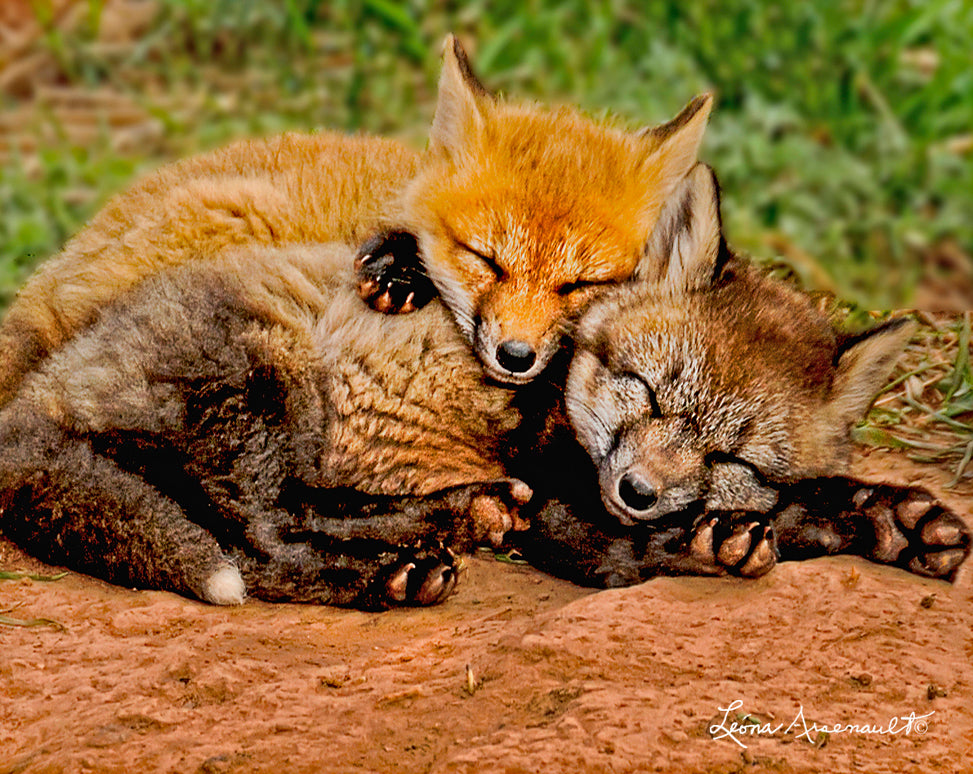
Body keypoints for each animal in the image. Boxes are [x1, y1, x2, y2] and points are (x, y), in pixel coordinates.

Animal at [0, 164, 966, 608]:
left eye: (732, 456)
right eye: (646, 392)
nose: (637, 488)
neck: (563, 376)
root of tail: (36, 391)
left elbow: (811, 497)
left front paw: (890, 517)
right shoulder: (565, 502)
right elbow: (624, 557)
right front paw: (709, 546)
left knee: (307, 511)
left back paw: (450, 520)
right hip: (258, 394)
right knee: (263, 545)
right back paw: (389, 575)